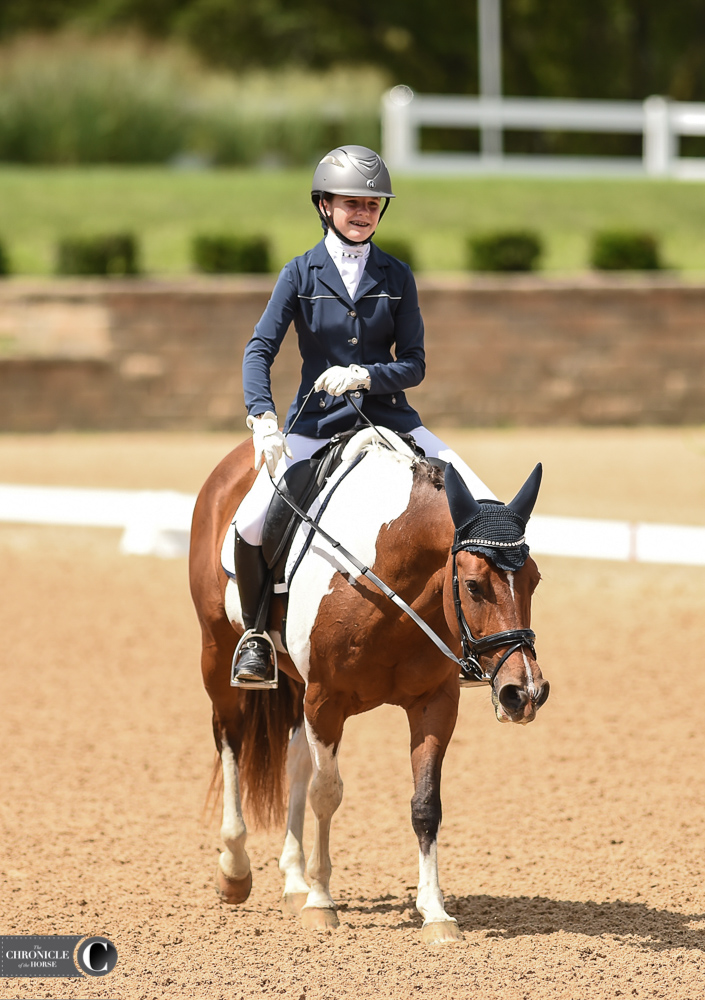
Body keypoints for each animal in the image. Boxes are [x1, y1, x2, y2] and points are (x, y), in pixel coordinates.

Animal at [188, 430, 552, 944]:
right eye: (474, 586)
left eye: (535, 580)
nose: (524, 693)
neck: (387, 580)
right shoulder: (325, 699)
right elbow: (326, 793)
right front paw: (322, 904)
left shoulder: (434, 703)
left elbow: (426, 804)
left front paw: (435, 913)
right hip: (218, 654)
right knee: (231, 743)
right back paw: (236, 870)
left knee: (294, 762)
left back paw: (294, 882)